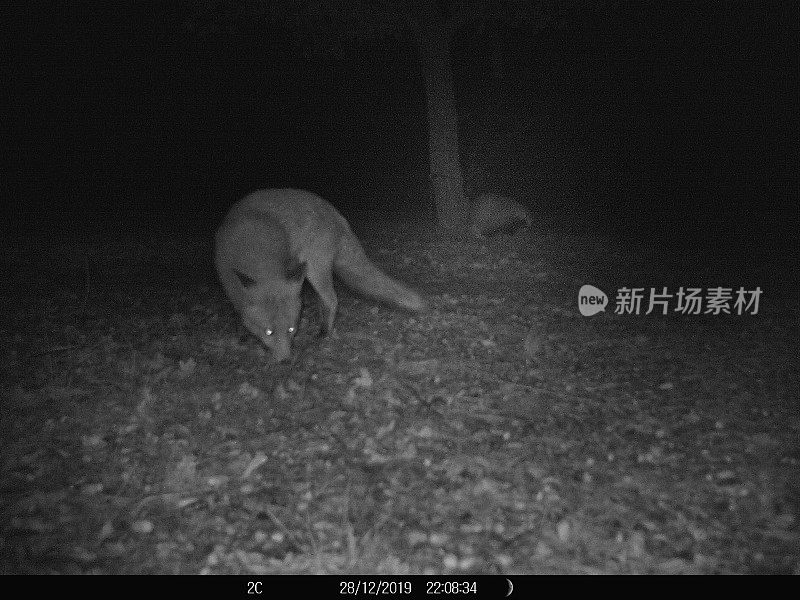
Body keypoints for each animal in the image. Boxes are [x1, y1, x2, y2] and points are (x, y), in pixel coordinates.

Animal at [212, 190, 424, 364]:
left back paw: (324, 331)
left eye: (291, 330)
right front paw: (244, 335)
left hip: (314, 268)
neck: (254, 251)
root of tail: (335, 213)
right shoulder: (231, 285)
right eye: (269, 332)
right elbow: (240, 314)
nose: (285, 361)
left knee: (332, 299)